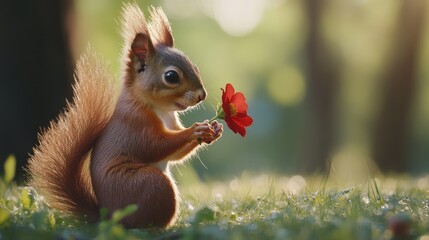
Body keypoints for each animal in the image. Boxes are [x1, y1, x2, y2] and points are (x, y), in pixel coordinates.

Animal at [26, 3, 222, 229]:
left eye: (195, 67)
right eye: (171, 76)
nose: (202, 95)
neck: (159, 109)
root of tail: (108, 217)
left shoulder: (171, 121)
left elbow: (175, 154)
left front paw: (213, 131)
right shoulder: (135, 123)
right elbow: (156, 146)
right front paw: (196, 129)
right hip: (150, 184)